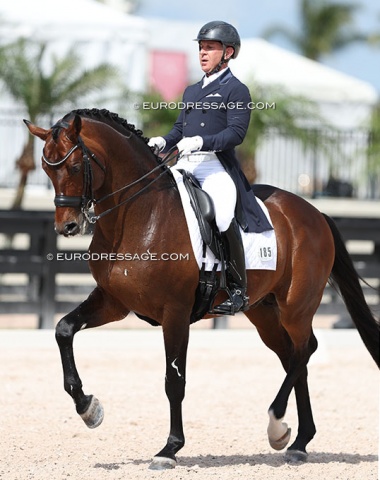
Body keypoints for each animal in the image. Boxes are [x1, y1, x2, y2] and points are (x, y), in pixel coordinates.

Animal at [25, 108, 378, 468]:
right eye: (45, 168)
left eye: (74, 166)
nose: (67, 226)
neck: (140, 215)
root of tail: (315, 212)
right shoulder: (114, 302)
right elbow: (63, 329)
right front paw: (88, 408)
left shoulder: (176, 313)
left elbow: (174, 380)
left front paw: (169, 449)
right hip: (264, 313)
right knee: (294, 357)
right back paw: (298, 441)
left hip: (296, 307)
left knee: (304, 350)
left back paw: (277, 425)